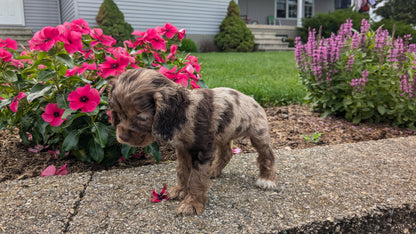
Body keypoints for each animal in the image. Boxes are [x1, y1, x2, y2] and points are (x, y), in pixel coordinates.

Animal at [109, 68, 276, 216]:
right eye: (117, 112)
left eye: (142, 117)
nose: (122, 137)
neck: (184, 113)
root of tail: (253, 100)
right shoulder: (183, 148)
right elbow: (182, 170)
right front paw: (180, 190)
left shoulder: (203, 149)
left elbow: (197, 178)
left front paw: (192, 204)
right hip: (223, 133)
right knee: (226, 153)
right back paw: (214, 171)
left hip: (258, 132)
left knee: (267, 154)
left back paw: (266, 179)